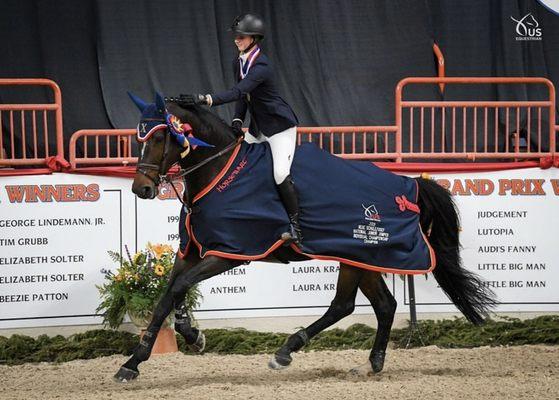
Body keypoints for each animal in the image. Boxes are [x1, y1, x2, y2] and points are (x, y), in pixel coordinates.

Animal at [111, 92, 496, 382]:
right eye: (138, 138)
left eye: (159, 137)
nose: (141, 188)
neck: (219, 171)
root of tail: (409, 185)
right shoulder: (189, 252)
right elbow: (167, 296)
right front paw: (139, 359)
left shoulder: (228, 252)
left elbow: (179, 287)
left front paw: (184, 338)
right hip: (363, 257)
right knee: (381, 306)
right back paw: (369, 364)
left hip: (356, 254)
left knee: (346, 305)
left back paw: (285, 352)